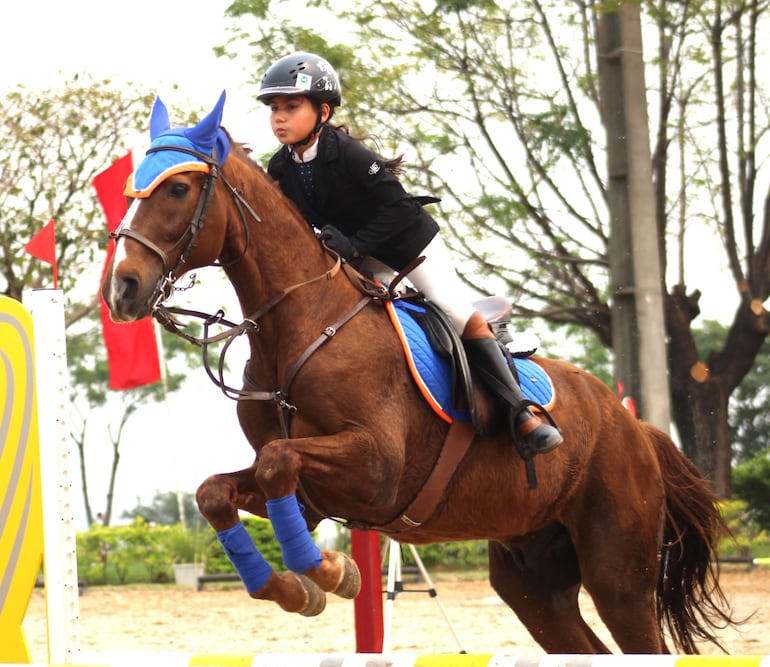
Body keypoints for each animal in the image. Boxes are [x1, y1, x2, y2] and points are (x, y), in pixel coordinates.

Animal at [99, 91, 736, 656]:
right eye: (132, 191)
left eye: (177, 188)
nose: (121, 290)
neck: (302, 324)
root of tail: (637, 428)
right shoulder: (305, 496)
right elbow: (216, 492)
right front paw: (296, 587)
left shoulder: (376, 468)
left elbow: (282, 461)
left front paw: (331, 572)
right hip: (533, 578)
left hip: (617, 569)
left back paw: (534, 429)